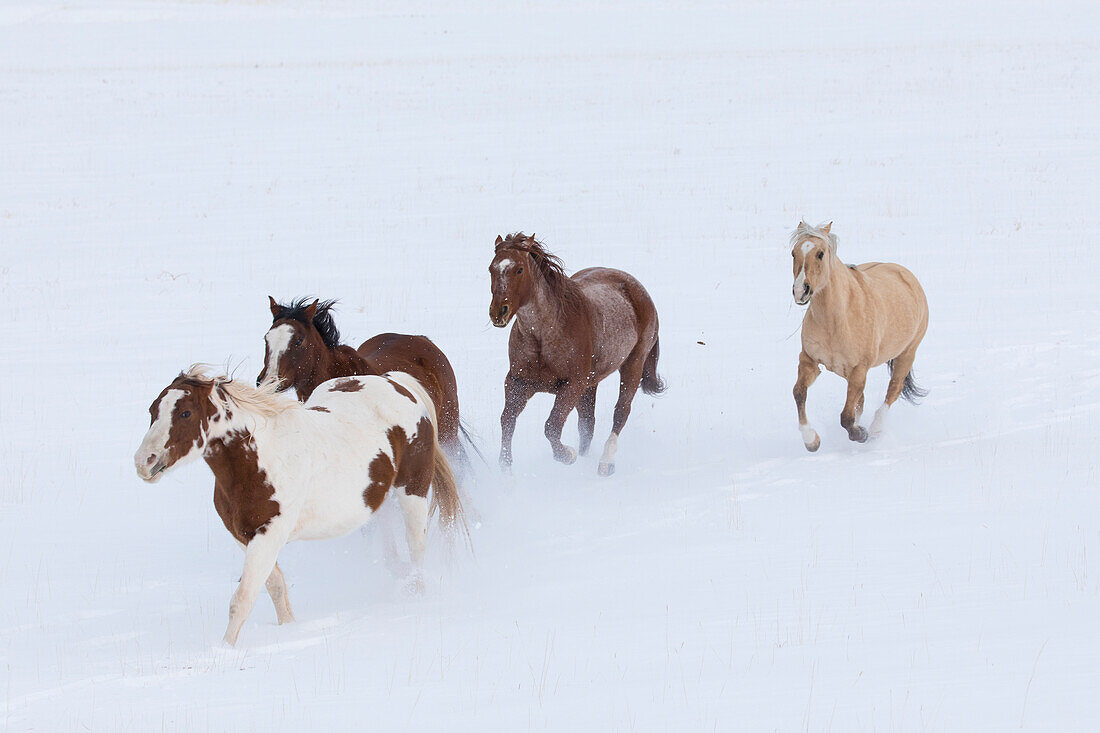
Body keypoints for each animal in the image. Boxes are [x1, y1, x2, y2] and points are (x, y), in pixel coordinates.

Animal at [133, 365, 464, 647]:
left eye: (186, 413)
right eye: (152, 410)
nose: (143, 462)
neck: (259, 459)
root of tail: (397, 382)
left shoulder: (269, 535)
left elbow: (243, 598)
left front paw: (224, 650)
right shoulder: (243, 535)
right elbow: (275, 586)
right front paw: (289, 628)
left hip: (413, 493)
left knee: (416, 548)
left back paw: (415, 596)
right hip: (377, 499)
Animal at [488, 231, 660, 477]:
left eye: (519, 269)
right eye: (491, 269)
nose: (498, 313)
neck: (543, 336)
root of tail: (638, 288)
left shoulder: (572, 385)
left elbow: (551, 426)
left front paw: (567, 455)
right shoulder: (518, 382)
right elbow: (507, 420)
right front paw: (505, 468)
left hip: (632, 366)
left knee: (621, 411)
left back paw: (606, 462)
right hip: (592, 383)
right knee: (588, 422)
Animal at [792, 221, 928, 451]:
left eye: (820, 254)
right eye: (793, 253)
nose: (801, 291)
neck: (836, 320)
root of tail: (905, 273)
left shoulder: (858, 370)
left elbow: (846, 417)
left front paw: (861, 434)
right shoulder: (809, 360)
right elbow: (799, 393)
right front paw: (811, 441)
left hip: (907, 354)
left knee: (894, 389)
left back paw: (875, 430)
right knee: (862, 401)